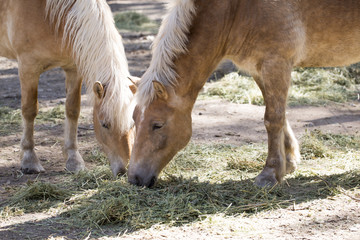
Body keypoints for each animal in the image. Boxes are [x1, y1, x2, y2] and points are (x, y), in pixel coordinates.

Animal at [0, 0, 136, 176]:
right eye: (104, 124)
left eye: (133, 124)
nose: (124, 171)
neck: (47, 14)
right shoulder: (28, 68)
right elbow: (29, 111)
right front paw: (29, 160)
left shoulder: (73, 69)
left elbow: (72, 110)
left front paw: (74, 160)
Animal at [128, 0, 360, 188]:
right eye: (134, 120)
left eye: (157, 125)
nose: (134, 179)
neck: (237, 9)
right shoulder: (259, 70)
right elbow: (280, 115)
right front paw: (288, 162)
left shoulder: (275, 64)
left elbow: (273, 119)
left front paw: (269, 174)